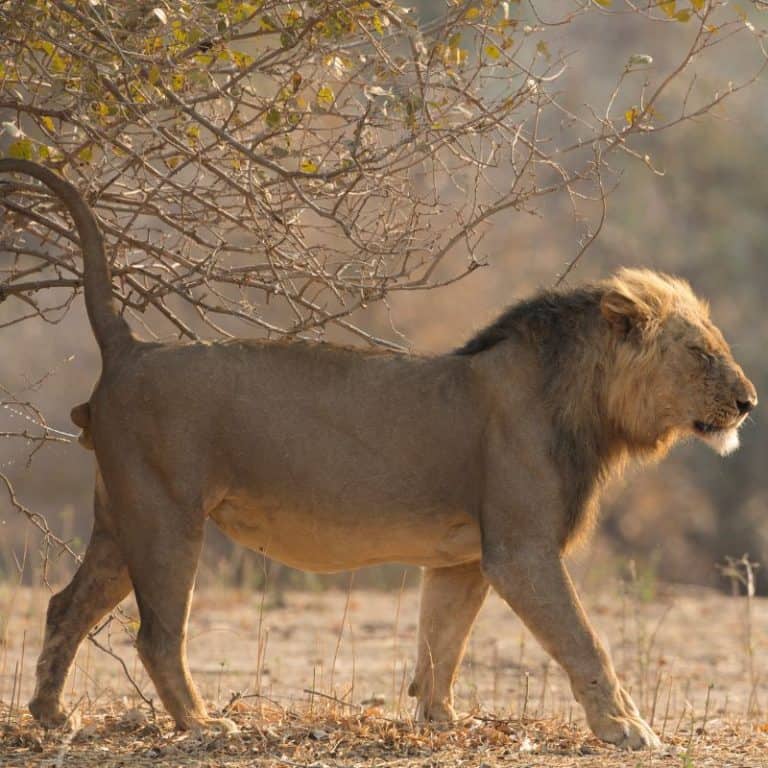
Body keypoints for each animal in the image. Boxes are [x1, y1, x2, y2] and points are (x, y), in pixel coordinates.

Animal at [0, 159, 757, 750]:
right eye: (700, 352)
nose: (749, 401)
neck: (586, 404)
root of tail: (130, 346)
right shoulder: (520, 550)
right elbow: (582, 639)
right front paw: (628, 729)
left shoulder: (463, 558)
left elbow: (441, 641)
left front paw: (439, 722)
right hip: (166, 516)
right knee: (157, 634)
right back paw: (204, 726)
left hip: (120, 518)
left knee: (64, 607)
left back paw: (52, 715)